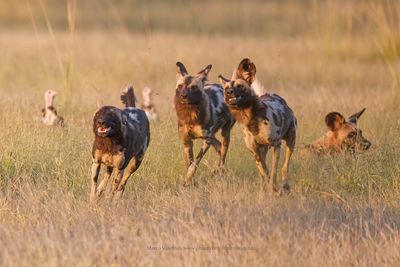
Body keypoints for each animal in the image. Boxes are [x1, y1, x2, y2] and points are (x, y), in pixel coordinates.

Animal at [219, 57, 296, 194]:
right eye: (226, 88)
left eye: (240, 86)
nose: (229, 92)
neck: (251, 119)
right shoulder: (255, 152)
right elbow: (265, 172)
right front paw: (270, 189)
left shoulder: (276, 145)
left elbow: (273, 171)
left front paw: (273, 189)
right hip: (262, 151)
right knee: (263, 173)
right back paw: (264, 188)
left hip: (291, 141)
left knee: (285, 167)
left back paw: (285, 185)